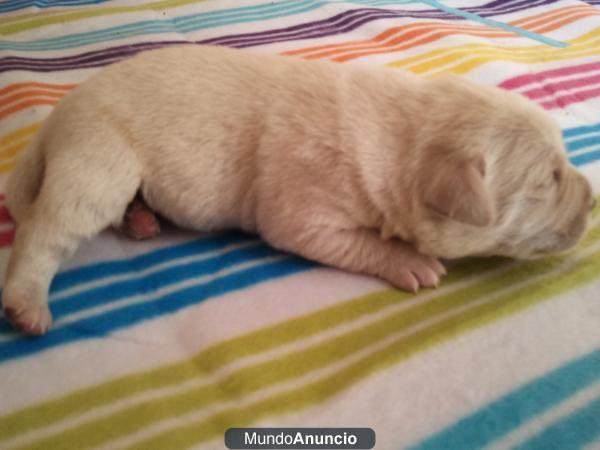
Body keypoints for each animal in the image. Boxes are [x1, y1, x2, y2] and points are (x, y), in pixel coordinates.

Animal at [1, 44, 596, 334]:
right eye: (548, 178)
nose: (593, 198)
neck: (406, 135)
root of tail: (57, 119)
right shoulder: (306, 207)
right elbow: (350, 240)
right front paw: (408, 260)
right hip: (101, 157)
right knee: (45, 230)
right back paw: (28, 304)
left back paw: (142, 218)